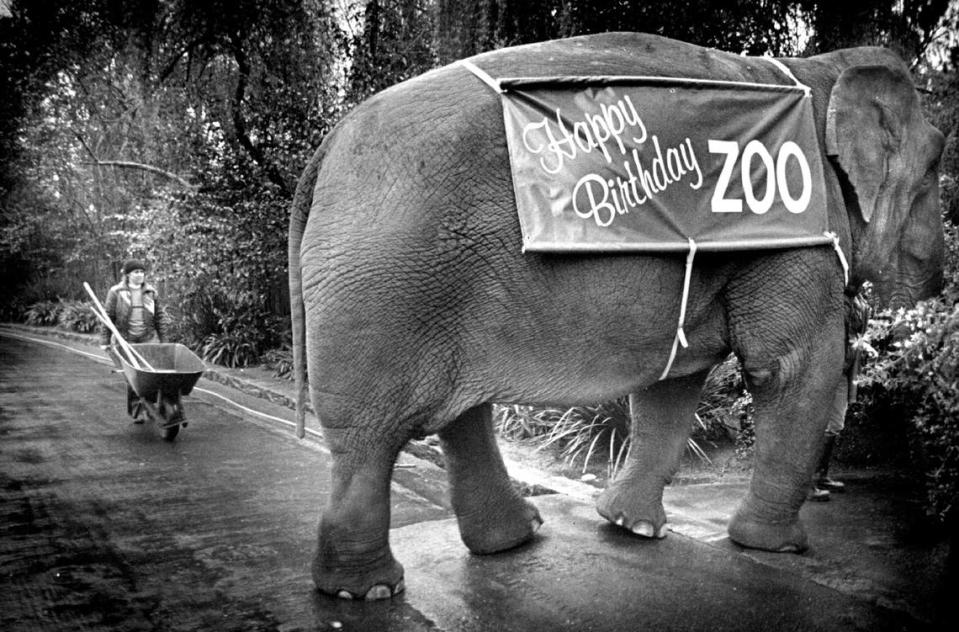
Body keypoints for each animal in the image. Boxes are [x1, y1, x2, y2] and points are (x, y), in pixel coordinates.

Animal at [284, 32, 944, 600]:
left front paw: (631, 527)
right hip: (384, 287)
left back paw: (513, 539)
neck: (816, 73)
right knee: (367, 439)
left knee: (457, 414)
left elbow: (676, 381)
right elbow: (792, 366)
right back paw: (366, 589)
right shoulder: (796, 236)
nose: (938, 283)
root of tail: (326, 148)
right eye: (938, 161)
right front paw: (779, 549)